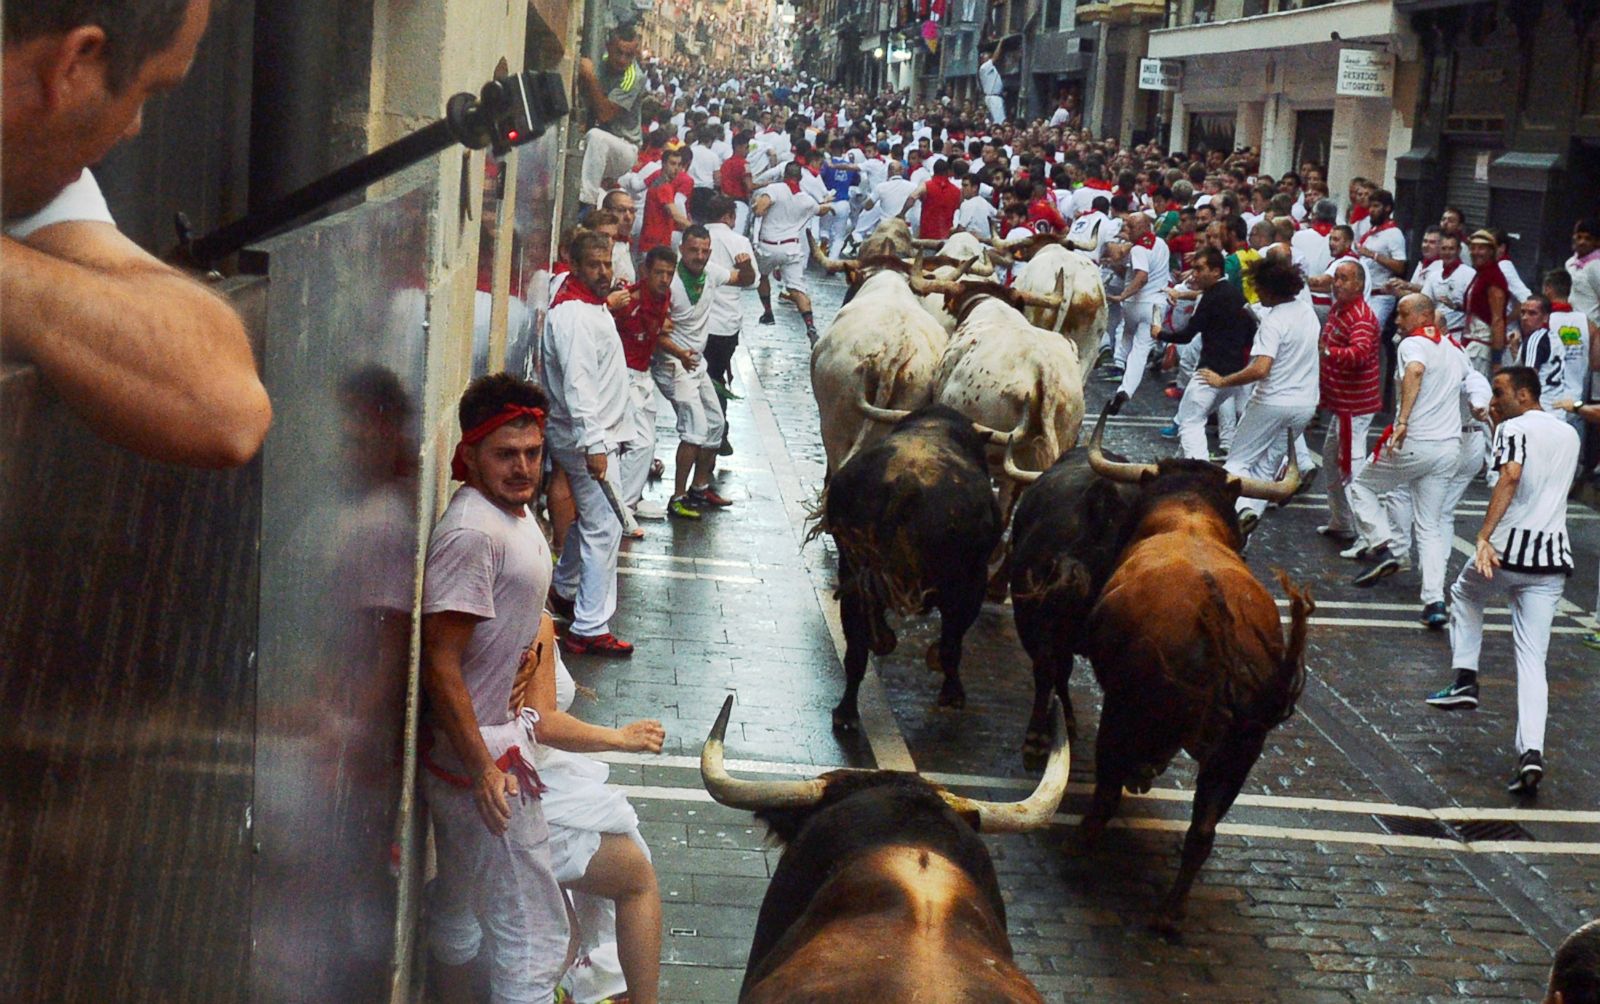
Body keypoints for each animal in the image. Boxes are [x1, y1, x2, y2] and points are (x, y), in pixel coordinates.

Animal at [1075, 406, 1312, 933]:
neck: (1187, 520)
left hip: (1124, 710)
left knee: (1107, 791)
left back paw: (1082, 850)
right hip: (1241, 750)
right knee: (1202, 831)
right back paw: (1169, 914)